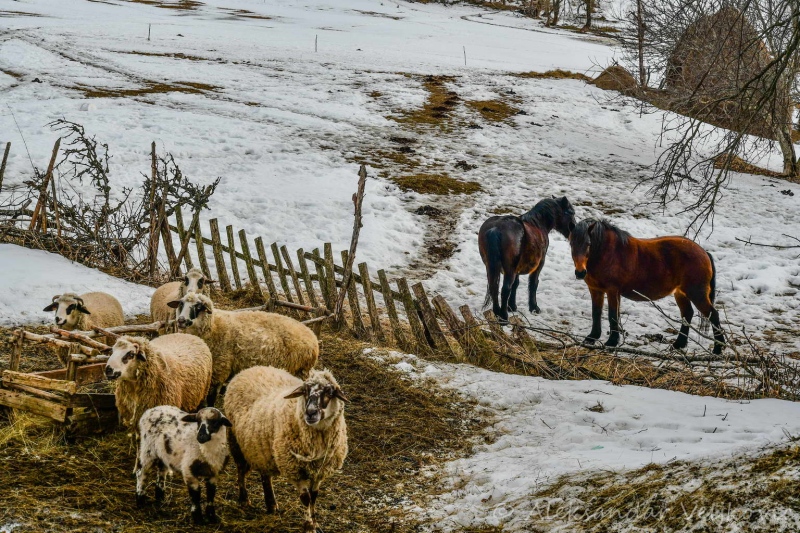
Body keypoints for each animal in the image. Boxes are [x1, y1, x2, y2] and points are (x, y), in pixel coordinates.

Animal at [168, 292, 319, 407]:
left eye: (198, 306)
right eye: (181, 304)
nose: (181, 320)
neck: (213, 326)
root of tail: (313, 338)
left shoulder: (219, 368)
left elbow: (211, 397)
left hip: (300, 370)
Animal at [224, 366, 348, 532]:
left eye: (329, 392)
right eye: (305, 391)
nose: (310, 413)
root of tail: (250, 369)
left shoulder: (319, 471)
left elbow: (314, 496)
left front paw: (315, 522)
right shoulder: (295, 469)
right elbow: (306, 498)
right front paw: (308, 526)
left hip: (262, 450)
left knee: (265, 476)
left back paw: (271, 505)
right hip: (236, 442)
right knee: (240, 471)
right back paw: (244, 499)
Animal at [568, 218, 725, 354]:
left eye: (588, 244)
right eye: (571, 244)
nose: (580, 272)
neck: (608, 252)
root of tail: (704, 252)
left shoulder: (613, 291)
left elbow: (612, 315)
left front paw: (612, 342)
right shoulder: (595, 290)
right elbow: (596, 313)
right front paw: (592, 338)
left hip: (697, 294)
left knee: (713, 315)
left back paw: (718, 349)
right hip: (680, 293)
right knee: (687, 314)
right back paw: (678, 345)